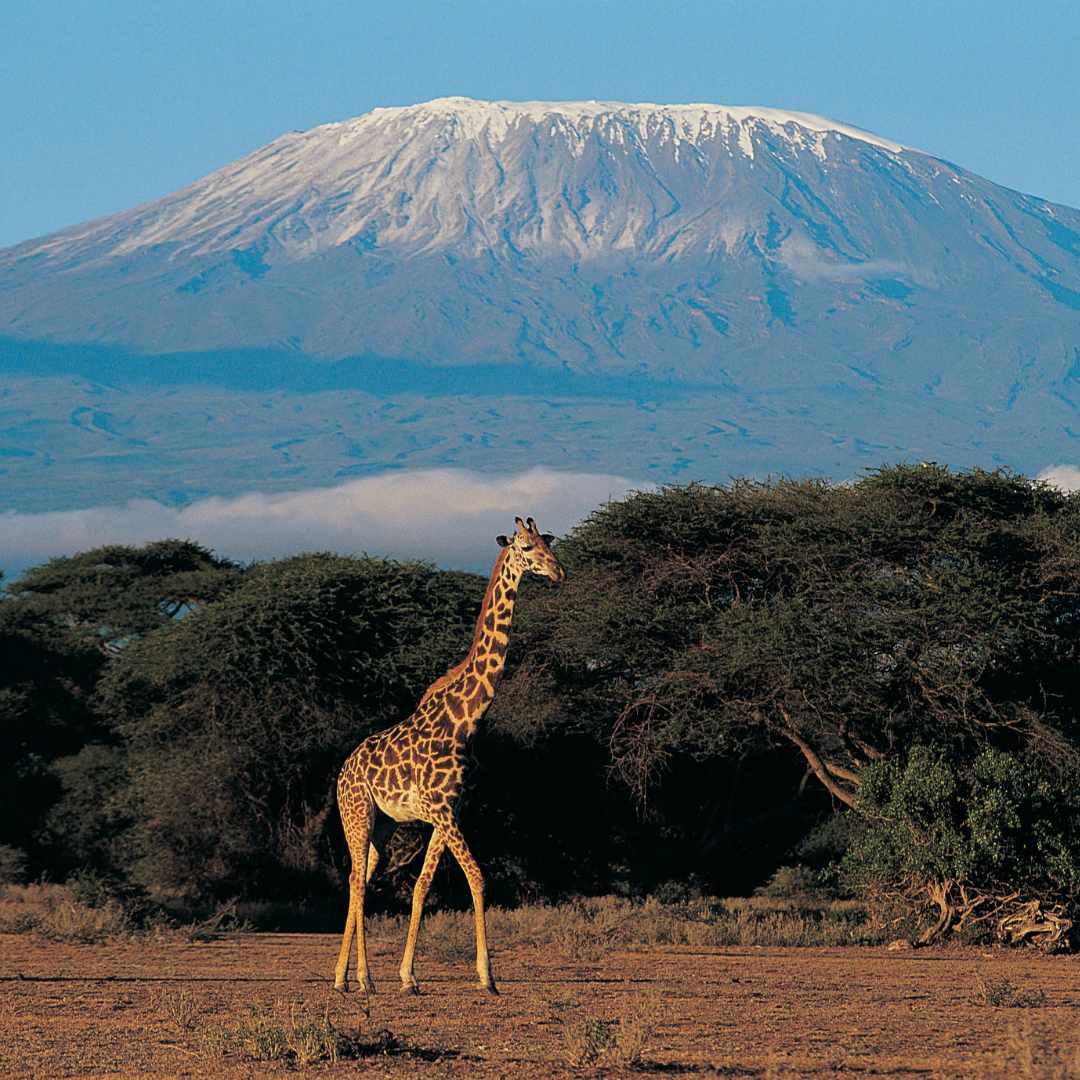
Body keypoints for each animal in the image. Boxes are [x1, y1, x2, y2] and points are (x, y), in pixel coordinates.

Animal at [332, 514, 565, 993]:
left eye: (548, 543)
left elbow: (423, 885)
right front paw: (487, 977)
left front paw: (408, 976)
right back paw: (363, 978)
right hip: (356, 814)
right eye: (526, 547)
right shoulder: (440, 810)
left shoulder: (450, 810)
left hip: (383, 825)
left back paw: (342, 977)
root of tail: (342, 772)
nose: (557, 572)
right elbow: (477, 875)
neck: (466, 719)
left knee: (359, 877)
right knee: (357, 880)